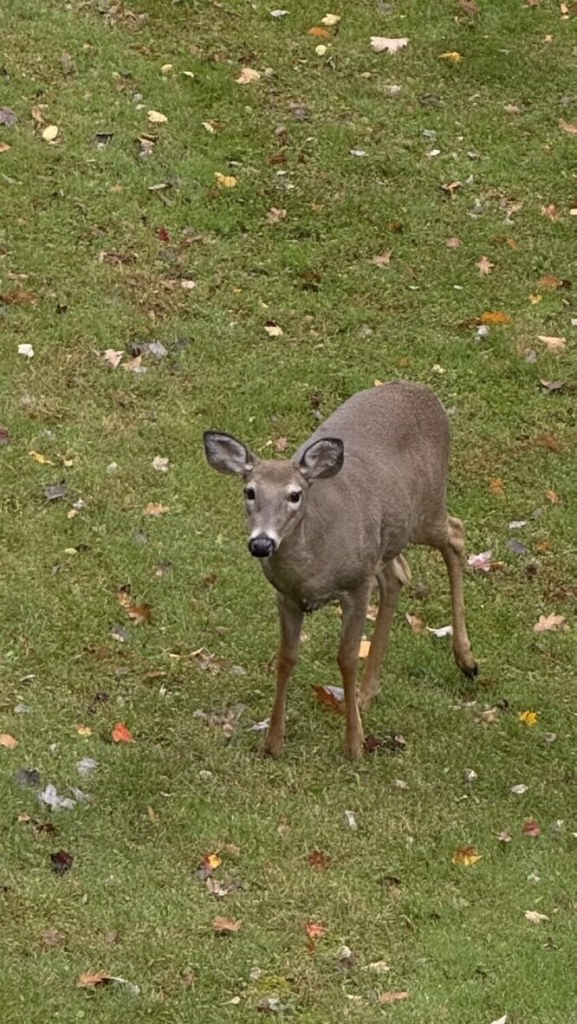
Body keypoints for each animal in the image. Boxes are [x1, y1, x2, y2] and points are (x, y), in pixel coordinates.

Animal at [203, 380, 477, 760]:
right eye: (250, 491)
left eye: (294, 495)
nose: (261, 543)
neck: (313, 567)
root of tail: (425, 392)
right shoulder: (286, 597)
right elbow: (286, 658)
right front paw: (273, 742)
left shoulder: (356, 585)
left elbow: (346, 657)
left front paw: (354, 744)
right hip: (387, 536)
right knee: (398, 574)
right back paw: (366, 693)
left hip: (428, 505)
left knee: (456, 534)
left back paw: (467, 660)